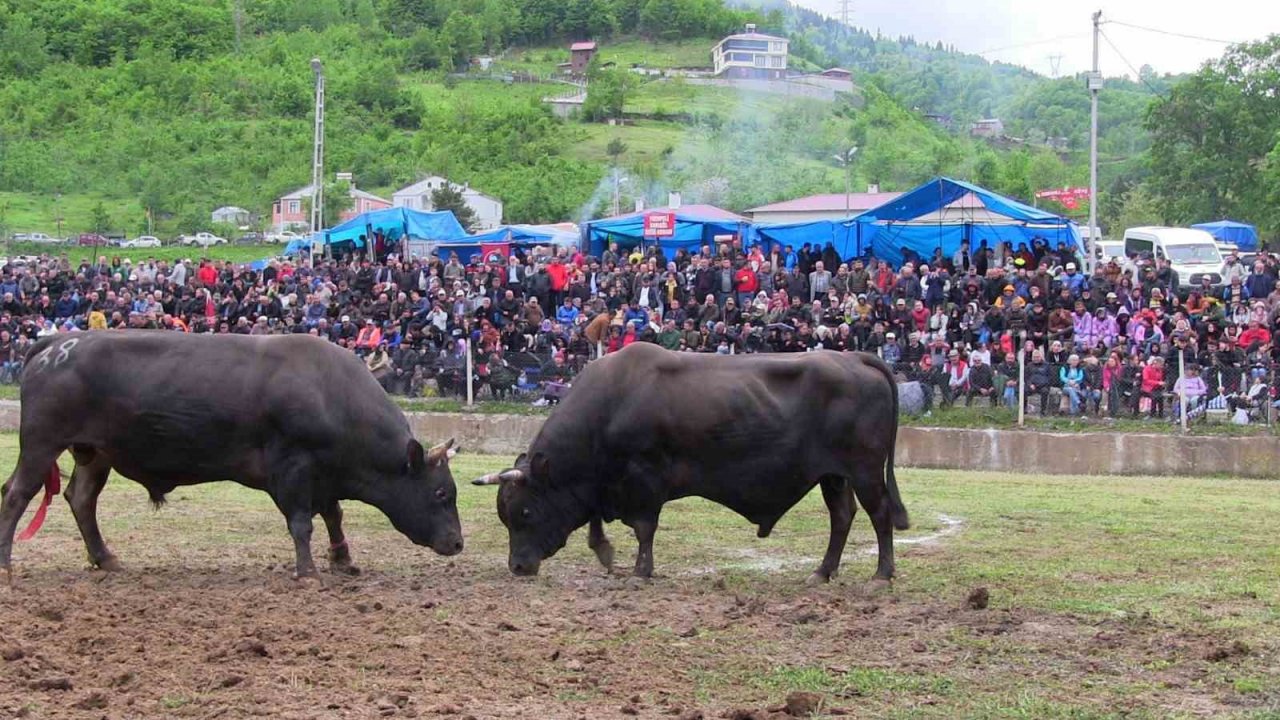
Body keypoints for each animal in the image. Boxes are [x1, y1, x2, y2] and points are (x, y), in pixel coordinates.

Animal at [0, 330, 465, 576]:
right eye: (441, 493)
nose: (459, 542)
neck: (330, 393)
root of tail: (59, 341)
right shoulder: (292, 470)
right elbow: (302, 523)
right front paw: (308, 570)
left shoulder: (324, 476)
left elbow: (333, 515)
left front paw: (342, 559)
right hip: (41, 444)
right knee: (17, 495)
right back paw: (6, 563)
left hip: (95, 453)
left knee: (80, 499)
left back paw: (105, 557)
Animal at [481, 338, 911, 579]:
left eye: (524, 512)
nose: (517, 567)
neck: (611, 405)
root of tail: (854, 358)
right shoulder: (604, 485)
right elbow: (595, 520)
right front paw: (605, 553)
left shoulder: (645, 479)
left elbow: (644, 529)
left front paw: (640, 571)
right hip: (833, 476)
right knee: (842, 517)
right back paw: (822, 573)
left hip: (865, 471)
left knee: (879, 514)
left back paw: (882, 574)